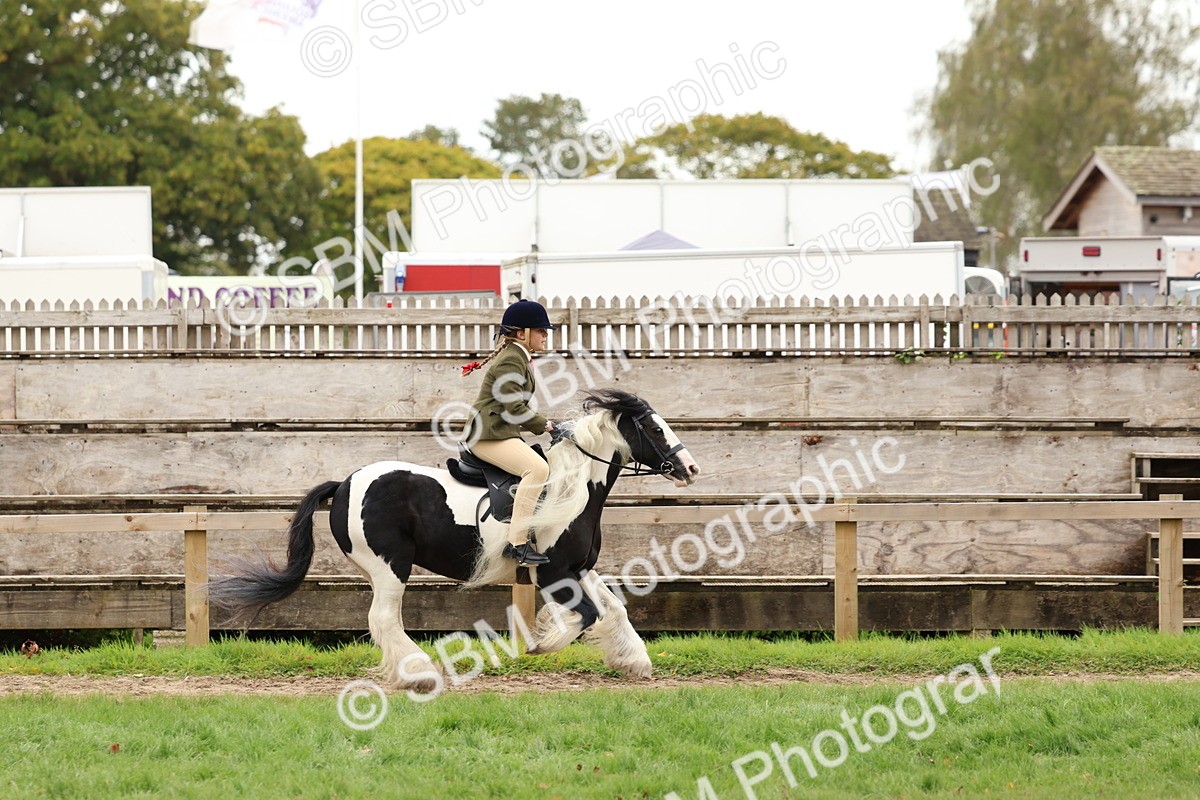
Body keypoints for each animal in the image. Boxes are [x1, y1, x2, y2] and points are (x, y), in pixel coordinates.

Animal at [209, 389, 700, 691]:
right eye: (655, 429)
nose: (690, 468)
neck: (572, 486)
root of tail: (345, 483)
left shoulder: (580, 568)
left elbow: (613, 608)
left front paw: (633, 661)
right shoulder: (555, 574)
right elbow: (585, 615)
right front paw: (541, 644)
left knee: (384, 620)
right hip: (391, 566)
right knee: (384, 619)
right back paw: (419, 675)